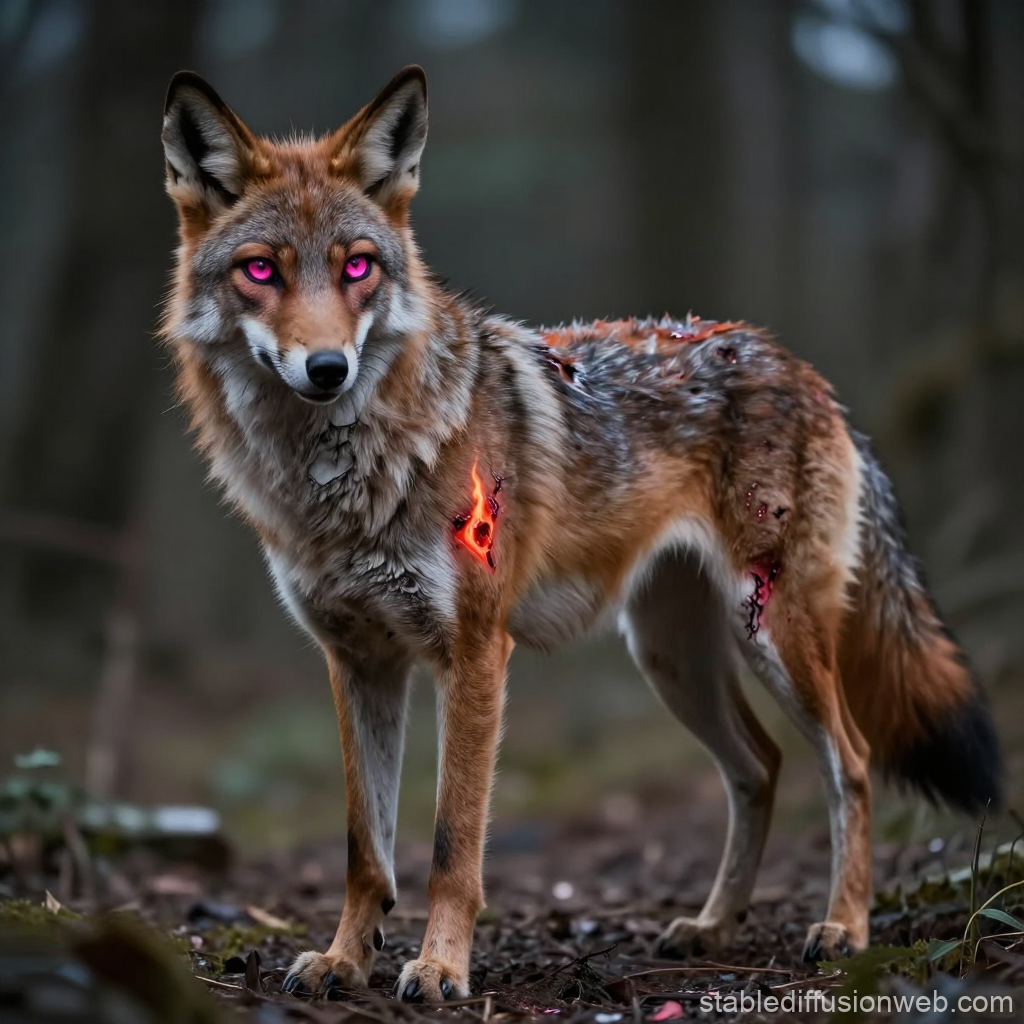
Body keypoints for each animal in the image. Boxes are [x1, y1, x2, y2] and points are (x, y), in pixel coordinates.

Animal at [160, 65, 1002, 1002]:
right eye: (260, 270)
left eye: (357, 268)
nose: (327, 369)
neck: (341, 484)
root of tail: (802, 368)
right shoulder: (359, 663)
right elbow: (364, 849)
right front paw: (346, 959)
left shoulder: (474, 652)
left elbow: (451, 844)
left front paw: (440, 968)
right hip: (672, 659)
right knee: (760, 768)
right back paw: (713, 926)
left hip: (774, 638)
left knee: (848, 763)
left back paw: (843, 928)